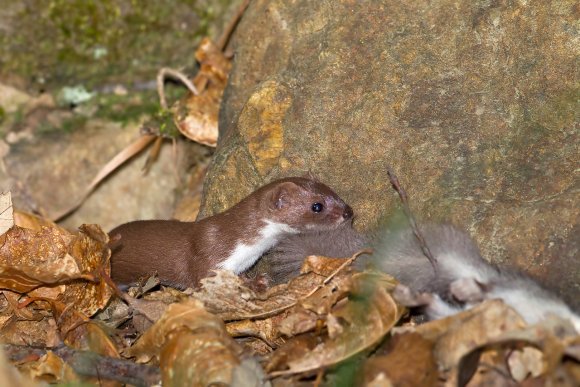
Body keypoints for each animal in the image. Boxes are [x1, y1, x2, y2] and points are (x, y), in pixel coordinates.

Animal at [109, 177, 354, 290]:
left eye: (333, 192)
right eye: (317, 206)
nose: (349, 212)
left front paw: (256, 279)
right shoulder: (207, 255)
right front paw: (255, 284)